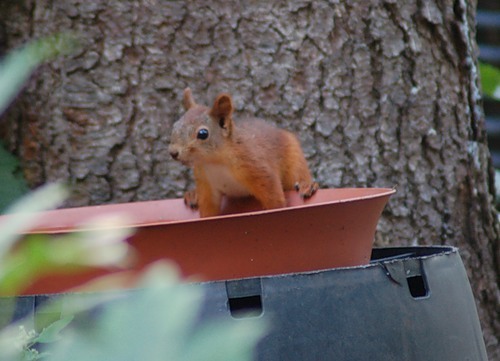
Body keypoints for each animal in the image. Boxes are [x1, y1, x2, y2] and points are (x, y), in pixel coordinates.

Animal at [168, 87, 316, 217]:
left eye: (203, 133)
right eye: (175, 126)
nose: (173, 152)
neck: (215, 162)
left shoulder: (256, 166)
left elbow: (274, 198)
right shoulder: (206, 183)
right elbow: (208, 210)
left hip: (294, 158)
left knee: (298, 174)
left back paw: (307, 186)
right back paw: (193, 195)